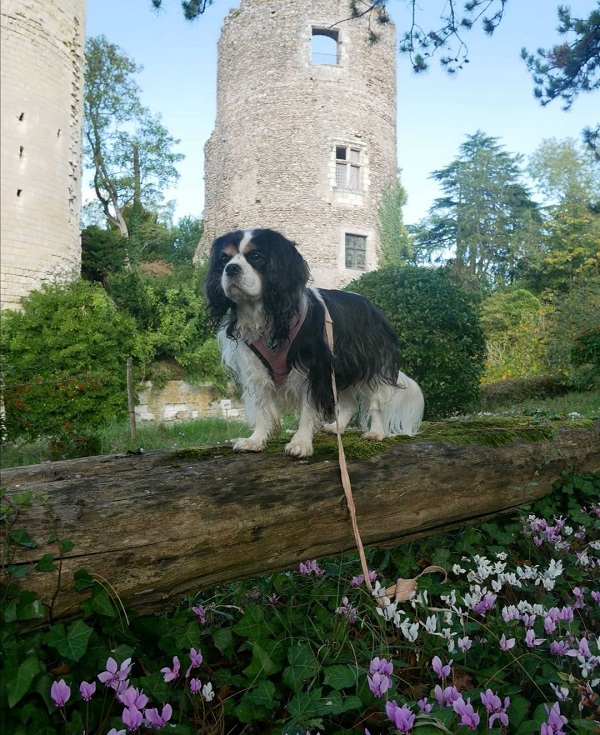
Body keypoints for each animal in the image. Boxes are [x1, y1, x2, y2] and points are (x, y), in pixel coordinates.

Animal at [204, 227, 424, 458]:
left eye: (255, 256)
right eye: (224, 259)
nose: (231, 269)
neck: (264, 313)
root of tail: (374, 308)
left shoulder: (313, 367)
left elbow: (308, 409)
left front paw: (301, 442)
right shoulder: (256, 369)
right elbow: (262, 406)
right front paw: (256, 440)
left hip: (370, 363)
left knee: (376, 403)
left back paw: (376, 433)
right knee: (348, 404)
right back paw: (337, 427)